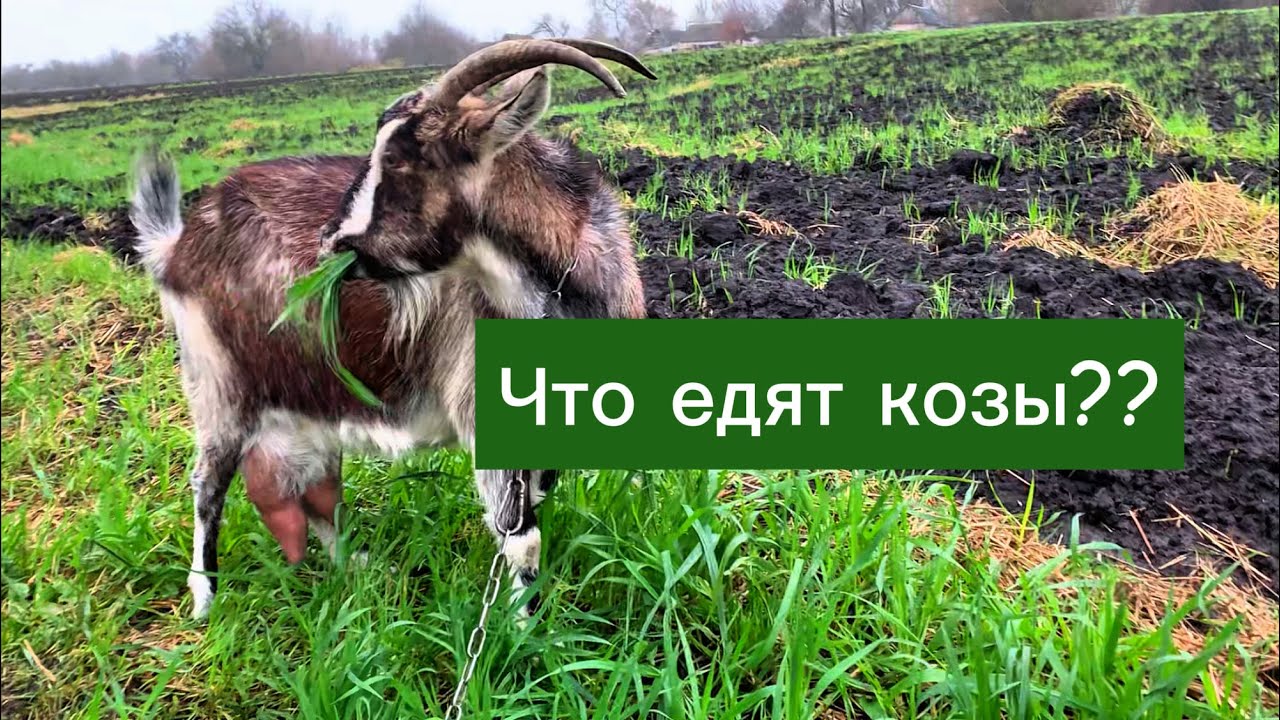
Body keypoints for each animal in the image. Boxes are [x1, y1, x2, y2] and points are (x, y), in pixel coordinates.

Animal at [129, 39, 654, 620]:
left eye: (402, 162)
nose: (331, 243)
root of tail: (179, 245)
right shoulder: (481, 409)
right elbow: (522, 538)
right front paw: (524, 630)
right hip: (219, 384)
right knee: (209, 483)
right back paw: (205, 598)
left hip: (306, 395)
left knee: (313, 484)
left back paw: (355, 567)